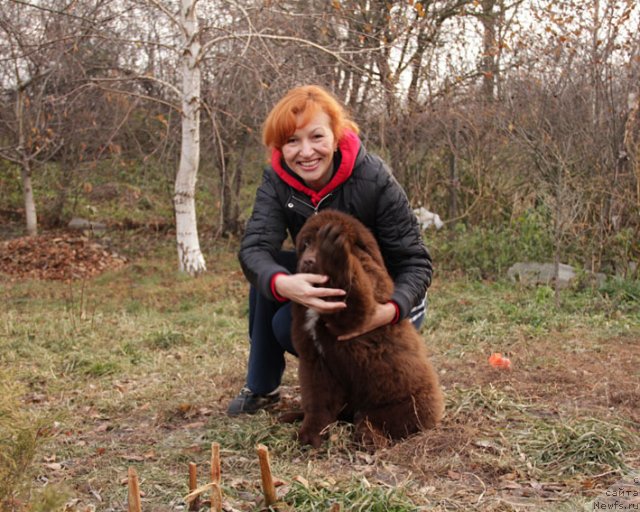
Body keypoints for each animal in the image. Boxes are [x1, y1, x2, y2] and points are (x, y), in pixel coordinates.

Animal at [292, 209, 444, 448]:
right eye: (306, 243)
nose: (307, 261)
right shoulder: (314, 360)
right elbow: (318, 401)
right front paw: (311, 434)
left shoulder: (360, 308)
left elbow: (353, 298)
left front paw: (334, 252)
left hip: (398, 400)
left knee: (377, 420)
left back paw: (369, 437)